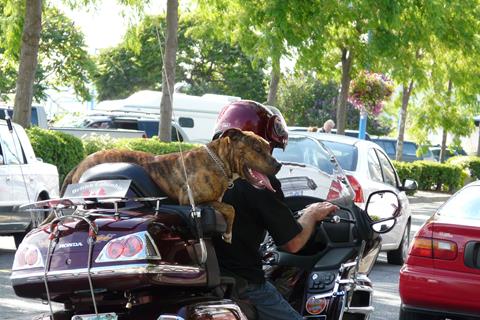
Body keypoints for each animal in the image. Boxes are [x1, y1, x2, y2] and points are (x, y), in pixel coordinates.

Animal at [49, 128, 282, 242]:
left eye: (268, 148)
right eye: (257, 149)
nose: (279, 164)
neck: (219, 161)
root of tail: (79, 164)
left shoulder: (211, 200)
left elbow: (228, 206)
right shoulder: (192, 201)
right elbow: (231, 209)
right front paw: (228, 233)